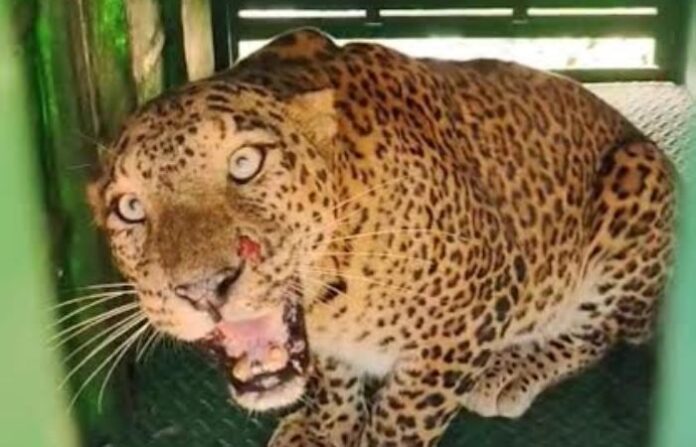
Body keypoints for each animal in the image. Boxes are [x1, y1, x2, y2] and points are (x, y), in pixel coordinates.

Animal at [87, 28, 677, 447]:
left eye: (246, 163)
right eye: (130, 209)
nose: (205, 288)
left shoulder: (472, 305)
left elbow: (404, 416)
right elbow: (332, 386)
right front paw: (326, 430)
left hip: (639, 180)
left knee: (602, 332)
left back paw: (511, 370)